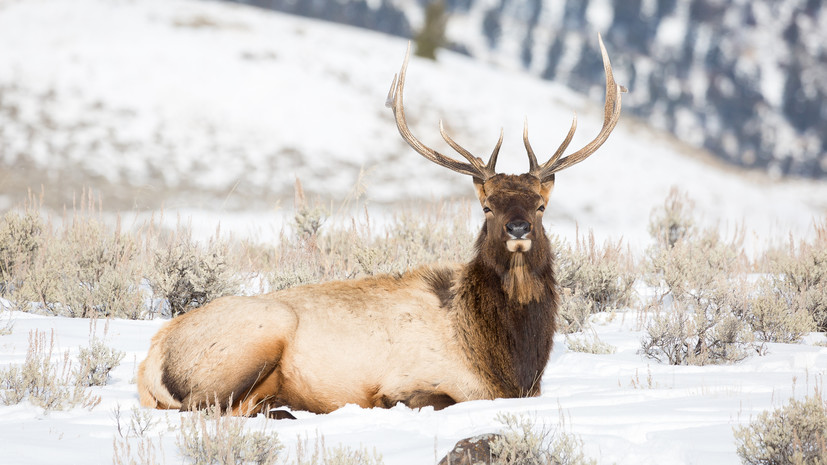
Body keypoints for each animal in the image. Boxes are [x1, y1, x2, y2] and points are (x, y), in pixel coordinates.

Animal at [139, 34, 624, 416]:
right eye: (487, 207)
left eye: (540, 205)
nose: (518, 229)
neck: (508, 360)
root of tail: (150, 359)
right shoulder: (409, 383)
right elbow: (432, 399)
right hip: (256, 338)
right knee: (206, 406)